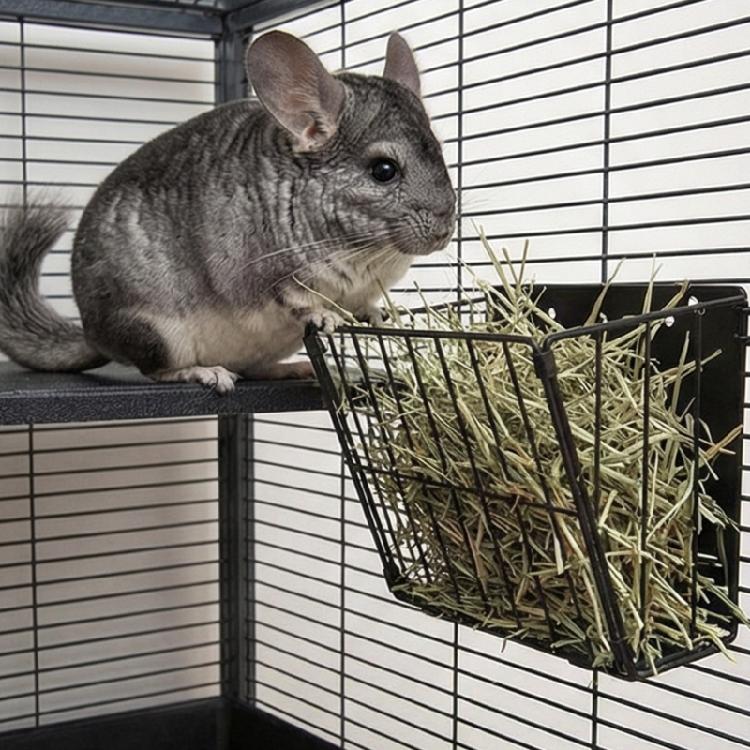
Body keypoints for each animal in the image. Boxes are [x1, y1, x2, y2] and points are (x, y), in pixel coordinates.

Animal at [0, 31, 456, 394]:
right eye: (384, 170)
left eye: (440, 153)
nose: (445, 228)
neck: (365, 253)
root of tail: (92, 333)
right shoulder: (264, 268)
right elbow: (297, 298)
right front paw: (325, 316)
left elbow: (368, 306)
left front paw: (380, 313)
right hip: (156, 331)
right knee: (157, 370)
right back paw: (206, 373)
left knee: (254, 369)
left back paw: (295, 368)